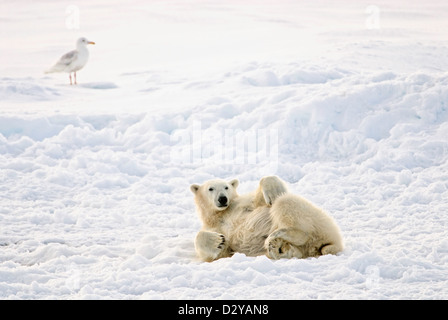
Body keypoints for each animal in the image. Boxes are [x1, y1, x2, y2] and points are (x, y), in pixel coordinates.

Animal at [190, 176, 344, 262]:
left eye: (226, 187)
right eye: (211, 188)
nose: (223, 198)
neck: (221, 214)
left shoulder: (244, 203)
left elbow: (262, 199)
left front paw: (273, 191)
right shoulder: (215, 227)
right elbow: (219, 251)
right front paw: (218, 241)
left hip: (318, 218)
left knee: (284, 203)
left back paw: (278, 235)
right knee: (299, 249)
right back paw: (279, 248)